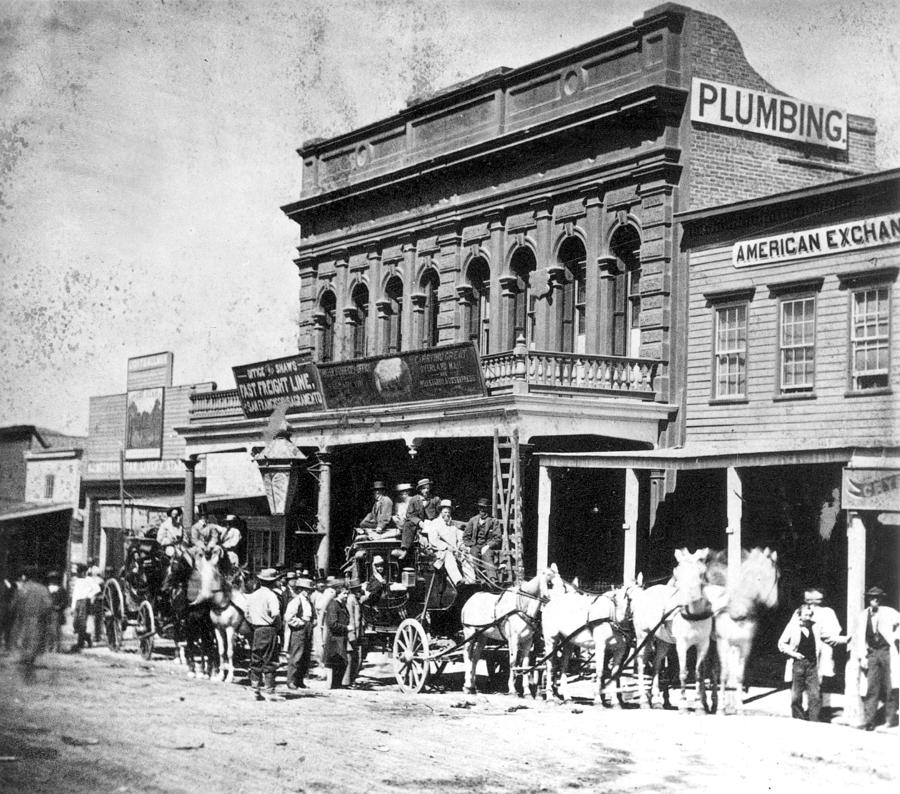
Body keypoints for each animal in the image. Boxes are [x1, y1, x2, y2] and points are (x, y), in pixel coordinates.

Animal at [540, 568, 640, 704]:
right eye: (631, 598)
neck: (612, 616)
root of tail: (552, 601)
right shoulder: (601, 646)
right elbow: (600, 671)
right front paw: (598, 699)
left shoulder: (620, 649)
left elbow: (615, 673)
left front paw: (615, 701)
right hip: (551, 640)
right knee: (550, 665)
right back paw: (550, 696)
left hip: (567, 642)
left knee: (563, 665)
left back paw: (566, 697)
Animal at [628, 548, 712, 708]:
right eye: (677, 574)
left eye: (701, 573)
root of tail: (643, 594)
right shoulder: (682, 644)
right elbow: (683, 672)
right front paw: (683, 702)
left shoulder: (703, 644)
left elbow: (700, 672)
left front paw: (702, 703)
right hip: (643, 636)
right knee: (642, 663)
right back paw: (643, 699)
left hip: (663, 642)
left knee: (656, 664)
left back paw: (656, 699)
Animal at [704, 548, 780, 716]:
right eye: (759, 577)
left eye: (778, 576)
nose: (775, 604)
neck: (737, 612)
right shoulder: (723, 643)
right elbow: (724, 674)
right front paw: (721, 709)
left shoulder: (745, 645)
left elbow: (739, 676)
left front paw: (739, 709)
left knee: (712, 671)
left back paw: (712, 702)